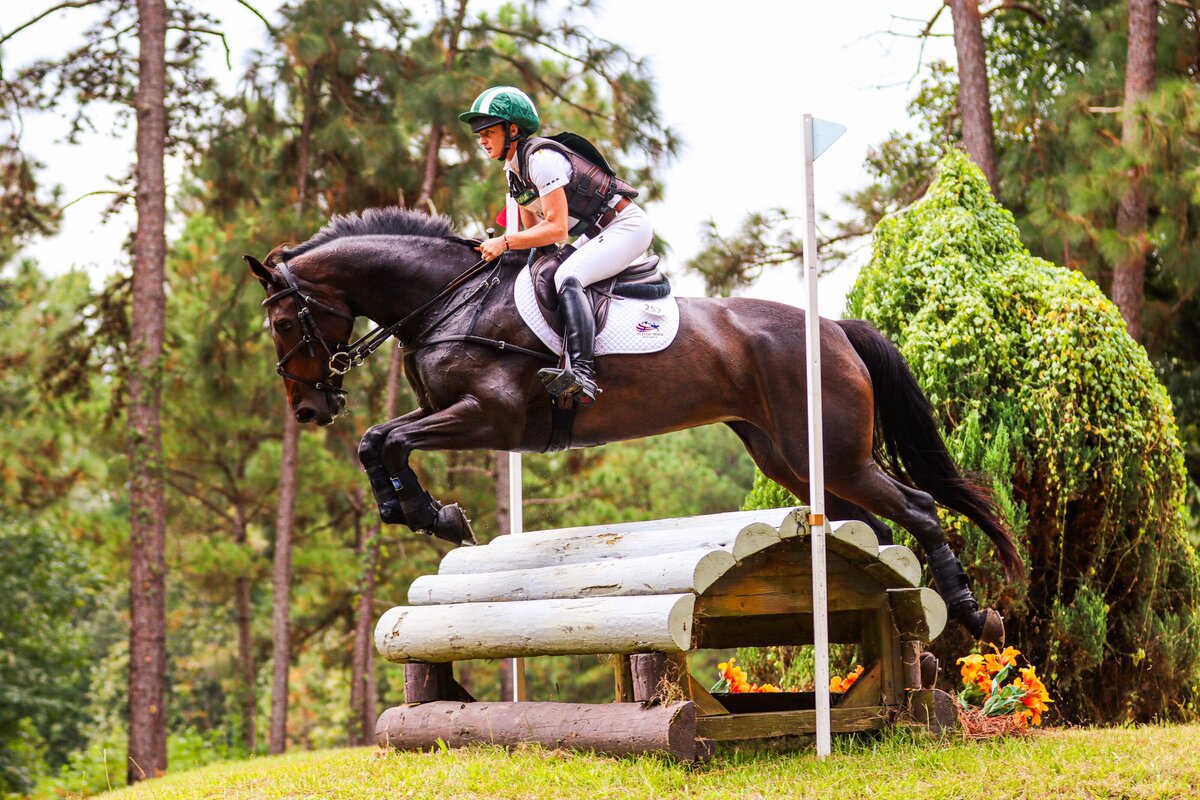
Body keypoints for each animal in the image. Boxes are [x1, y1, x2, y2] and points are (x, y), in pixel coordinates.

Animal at [246, 207, 1022, 644]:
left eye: (283, 323)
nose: (308, 409)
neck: (450, 301)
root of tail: (832, 323)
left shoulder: (489, 416)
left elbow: (391, 439)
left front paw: (431, 513)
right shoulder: (452, 413)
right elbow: (376, 440)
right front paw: (423, 511)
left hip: (834, 453)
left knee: (919, 509)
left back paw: (973, 614)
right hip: (788, 457)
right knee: (873, 524)